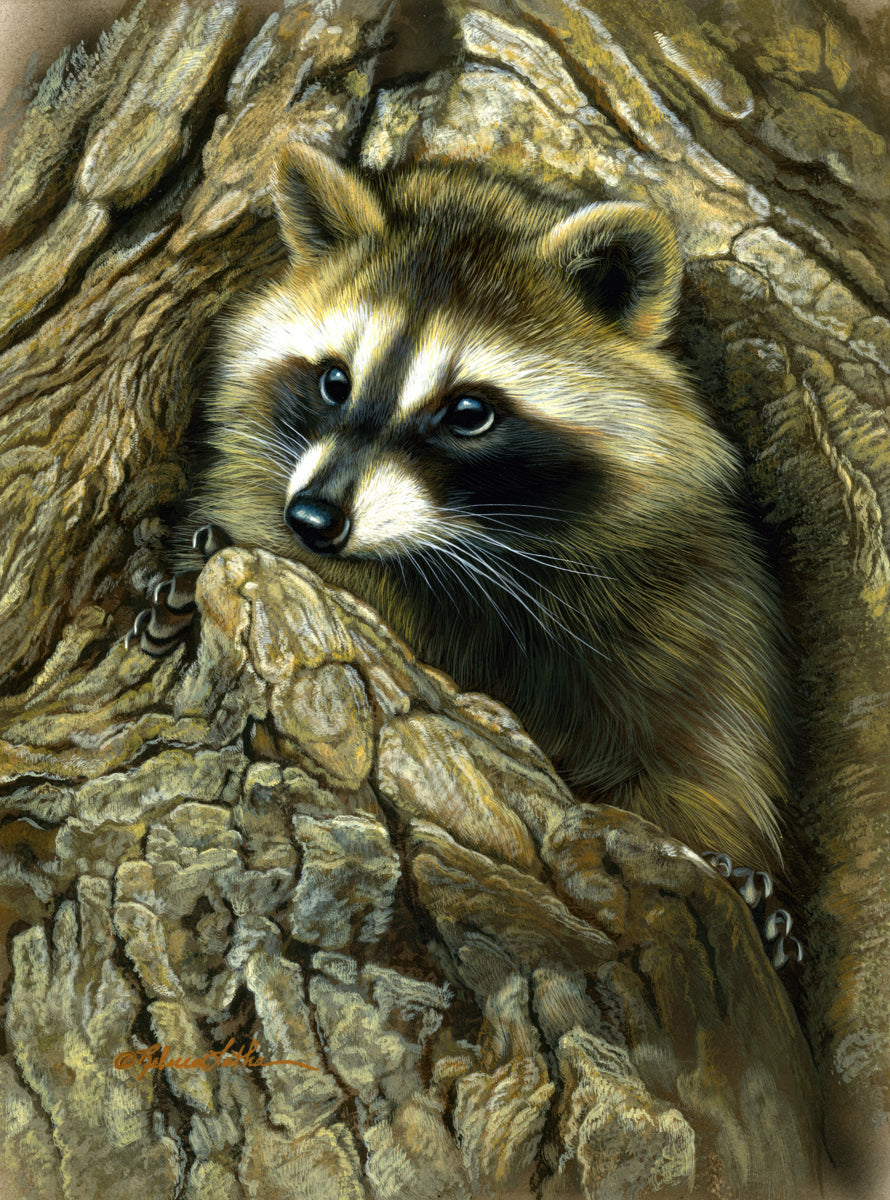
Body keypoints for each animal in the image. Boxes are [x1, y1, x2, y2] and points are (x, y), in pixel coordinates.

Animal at [191, 143, 789, 871]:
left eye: (469, 413)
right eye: (335, 381)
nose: (313, 520)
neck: (462, 558)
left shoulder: (691, 609)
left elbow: (704, 755)